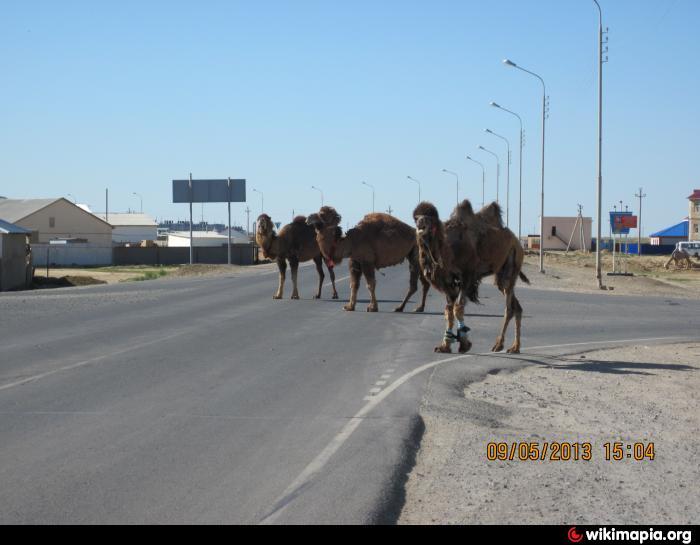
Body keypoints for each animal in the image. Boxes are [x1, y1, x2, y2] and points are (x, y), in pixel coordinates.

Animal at [412, 199, 528, 352]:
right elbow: (448, 310)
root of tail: (518, 242)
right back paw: (515, 347)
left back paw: (499, 344)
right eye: (416, 217)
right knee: (517, 307)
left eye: (429, 218)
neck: (448, 250)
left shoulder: (467, 275)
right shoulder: (448, 282)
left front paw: (464, 344)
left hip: (512, 260)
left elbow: (458, 308)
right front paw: (444, 346)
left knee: (509, 307)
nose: (420, 222)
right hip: (501, 275)